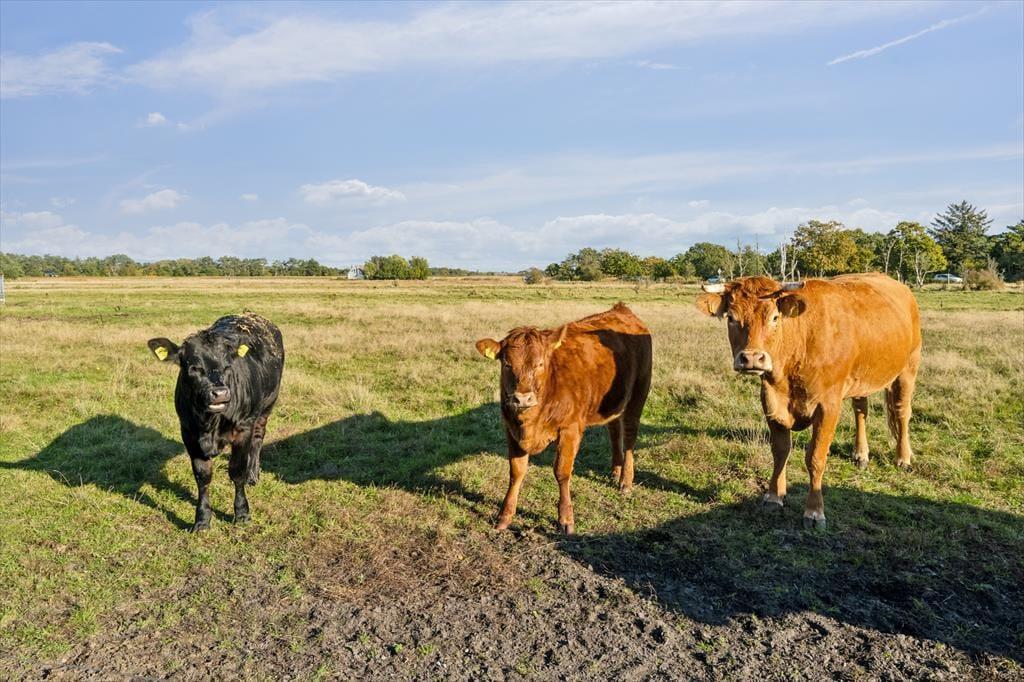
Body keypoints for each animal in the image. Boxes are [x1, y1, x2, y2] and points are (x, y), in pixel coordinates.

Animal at [148, 313, 284, 532]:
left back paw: (253, 475)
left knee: (258, 439)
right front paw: (202, 519)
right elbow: (202, 476)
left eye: (228, 366)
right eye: (194, 367)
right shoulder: (188, 433)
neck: (211, 425)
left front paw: (242, 513)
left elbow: (237, 471)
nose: (220, 393)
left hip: (267, 406)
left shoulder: (243, 429)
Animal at [476, 303, 652, 535]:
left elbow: (562, 472)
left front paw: (566, 519)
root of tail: (622, 310)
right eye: (506, 364)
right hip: (614, 401)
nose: (522, 398)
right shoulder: (511, 429)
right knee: (615, 431)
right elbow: (516, 472)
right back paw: (615, 471)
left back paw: (625, 481)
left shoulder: (570, 429)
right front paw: (504, 517)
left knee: (630, 435)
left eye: (540, 364)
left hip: (639, 394)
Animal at [696, 274, 921, 529]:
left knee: (902, 412)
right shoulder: (770, 401)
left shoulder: (828, 406)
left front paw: (814, 512)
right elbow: (780, 450)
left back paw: (903, 458)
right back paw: (861, 454)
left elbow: (816, 457)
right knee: (860, 410)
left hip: (908, 368)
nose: (752, 358)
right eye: (731, 318)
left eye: (774, 317)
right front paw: (774, 496)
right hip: (861, 377)